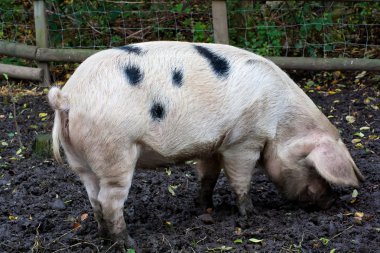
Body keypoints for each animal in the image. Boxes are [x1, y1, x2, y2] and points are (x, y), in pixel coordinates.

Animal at [46, 41, 362, 247]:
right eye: (313, 167)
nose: (331, 201)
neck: (281, 123)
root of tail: (67, 97)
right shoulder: (243, 140)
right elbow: (240, 179)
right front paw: (251, 214)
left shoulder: (212, 145)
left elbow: (208, 177)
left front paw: (205, 208)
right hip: (115, 150)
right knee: (109, 201)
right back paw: (128, 242)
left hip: (80, 159)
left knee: (93, 198)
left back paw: (102, 237)